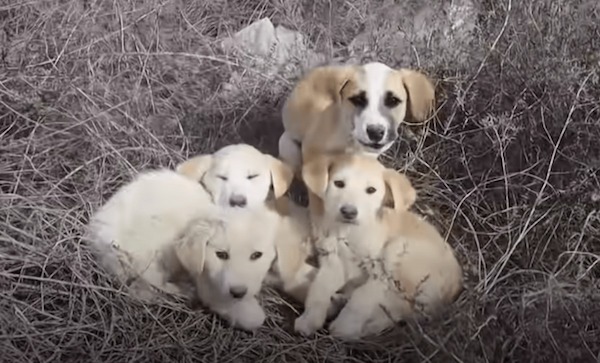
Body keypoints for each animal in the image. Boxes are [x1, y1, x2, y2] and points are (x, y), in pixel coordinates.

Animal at [85, 169, 284, 332]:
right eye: (221, 255)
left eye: (257, 255)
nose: (238, 292)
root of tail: (99, 239)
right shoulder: (208, 278)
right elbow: (246, 314)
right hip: (153, 245)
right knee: (146, 285)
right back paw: (181, 290)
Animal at [292, 154, 462, 342]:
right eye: (339, 183)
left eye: (371, 190)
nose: (349, 212)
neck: (350, 233)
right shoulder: (333, 262)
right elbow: (318, 289)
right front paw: (309, 319)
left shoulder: (379, 272)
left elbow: (362, 298)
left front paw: (345, 326)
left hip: (399, 251)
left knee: (394, 306)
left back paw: (356, 328)